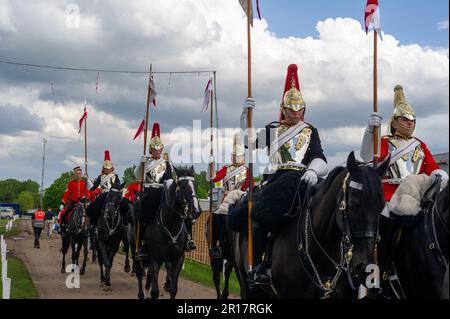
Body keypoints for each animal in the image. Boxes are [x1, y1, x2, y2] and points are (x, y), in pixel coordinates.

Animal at [136, 168, 201, 300]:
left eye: (195, 185)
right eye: (182, 186)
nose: (196, 211)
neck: (171, 226)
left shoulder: (178, 258)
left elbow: (173, 289)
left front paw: (168, 285)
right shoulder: (155, 258)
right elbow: (155, 292)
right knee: (139, 271)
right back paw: (141, 293)